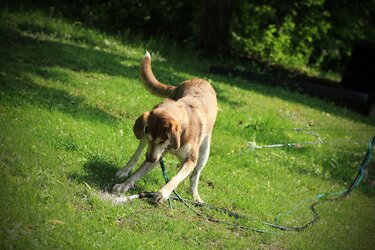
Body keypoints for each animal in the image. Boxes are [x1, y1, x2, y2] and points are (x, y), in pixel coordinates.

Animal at [111, 51, 217, 203]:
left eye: (162, 140)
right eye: (151, 139)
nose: (150, 159)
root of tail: (199, 80)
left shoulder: (189, 159)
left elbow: (176, 178)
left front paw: (163, 193)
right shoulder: (154, 150)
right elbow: (138, 172)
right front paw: (124, 184)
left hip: (204, 153)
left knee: (195, 175)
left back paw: (196, 197)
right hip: (143, 135)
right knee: (136, 155)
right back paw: (124, 171)